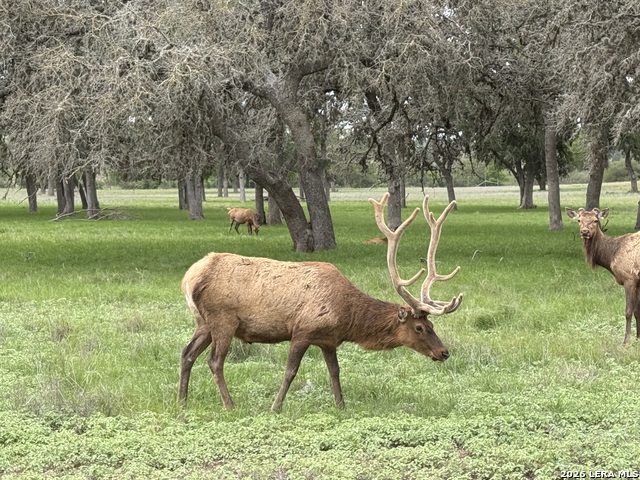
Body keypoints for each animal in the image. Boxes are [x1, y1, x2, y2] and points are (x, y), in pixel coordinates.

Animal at [179, 193, 463, 411]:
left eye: (432, 326)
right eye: (420, 327)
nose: (444, 352)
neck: (347, 318)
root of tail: (190, 277)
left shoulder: (328, 340)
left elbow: (335, 372)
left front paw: (341, 405)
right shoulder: (303, 330)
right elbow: (290, 371)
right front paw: (275, 407)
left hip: (203, 322)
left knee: (187, 353)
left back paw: (182, 401)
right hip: (223, 318)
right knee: (215, 361)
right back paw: (229, 405)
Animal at [566, 207, 640, 344]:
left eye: (595, 220)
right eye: (579, 220)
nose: (584, 232)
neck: (611, 256)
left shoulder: (629, 278)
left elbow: (628, 312)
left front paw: (626, 342)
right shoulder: (637, 281)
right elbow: (637, 311)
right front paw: (637, 338)